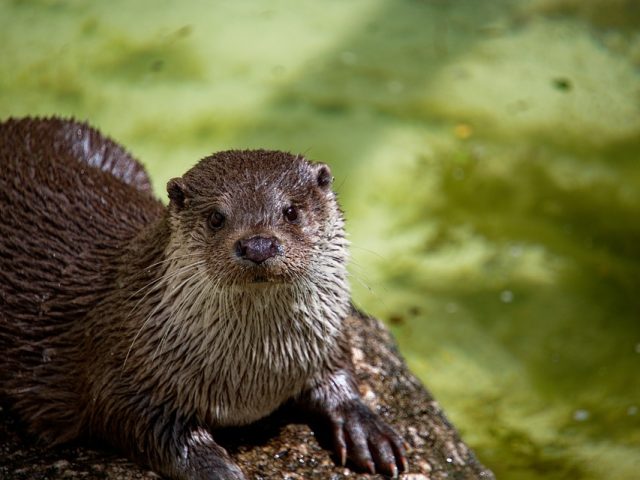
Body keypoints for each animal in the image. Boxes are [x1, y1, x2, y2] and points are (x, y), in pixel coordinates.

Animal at [0, 117, 408, 480]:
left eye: (291, 211)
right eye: (216, 217)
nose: (258, 245)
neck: (256, 376)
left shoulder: (325, 338)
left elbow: (340, 372)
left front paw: (366, 428)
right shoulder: (122, 368)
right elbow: (146, 425)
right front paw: (220, 469)